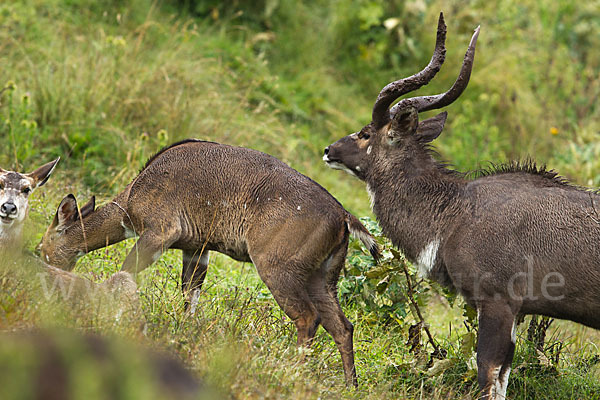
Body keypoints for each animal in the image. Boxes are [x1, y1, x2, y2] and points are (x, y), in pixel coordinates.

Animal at [39, 139, 382, 386]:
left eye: (43, 246)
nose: (41, 261)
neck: (131, 202)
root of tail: (344, 218)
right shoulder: (196, 248)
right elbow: (190, 297)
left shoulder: (161, 231)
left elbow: (126, 272)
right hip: (322, 277)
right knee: (343, 325)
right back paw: (350, 386)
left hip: (277, 267)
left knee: (308, 317)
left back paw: (292, 372)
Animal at [326, 13, 600, 400]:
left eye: (366, 133)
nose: (329, 150)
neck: (454, 211)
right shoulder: (513, 312)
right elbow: (501, 378)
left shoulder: (497, 301)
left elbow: (487, 373)